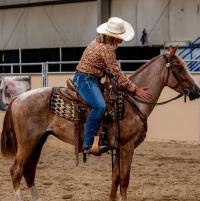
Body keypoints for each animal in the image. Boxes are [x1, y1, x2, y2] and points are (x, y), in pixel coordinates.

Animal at [0, 47, 200, 201]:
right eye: (179, 67)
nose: (196, 90)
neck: (131, 102)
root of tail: (18, 98)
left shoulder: (118, 148)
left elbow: (115, 179)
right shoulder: (127, 147)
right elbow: (124, 180)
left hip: (38, 141)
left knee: (29, 171)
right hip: (28, 143)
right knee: (16, 171)